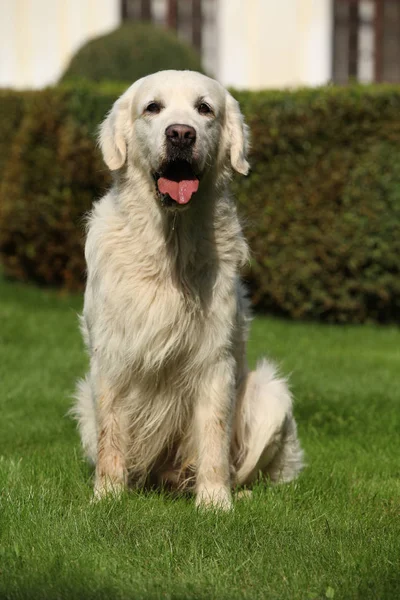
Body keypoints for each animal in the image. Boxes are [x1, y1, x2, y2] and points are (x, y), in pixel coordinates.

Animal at [72, 70, 304, 510]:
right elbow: (113, 435)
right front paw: (107, 497)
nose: (181, 133)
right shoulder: (110, 357)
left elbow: (213, 435)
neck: (170, 248)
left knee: (251, 469)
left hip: (271, 395)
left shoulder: (214, 358)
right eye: (153, 107)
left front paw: (215, 503)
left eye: (204, 109)